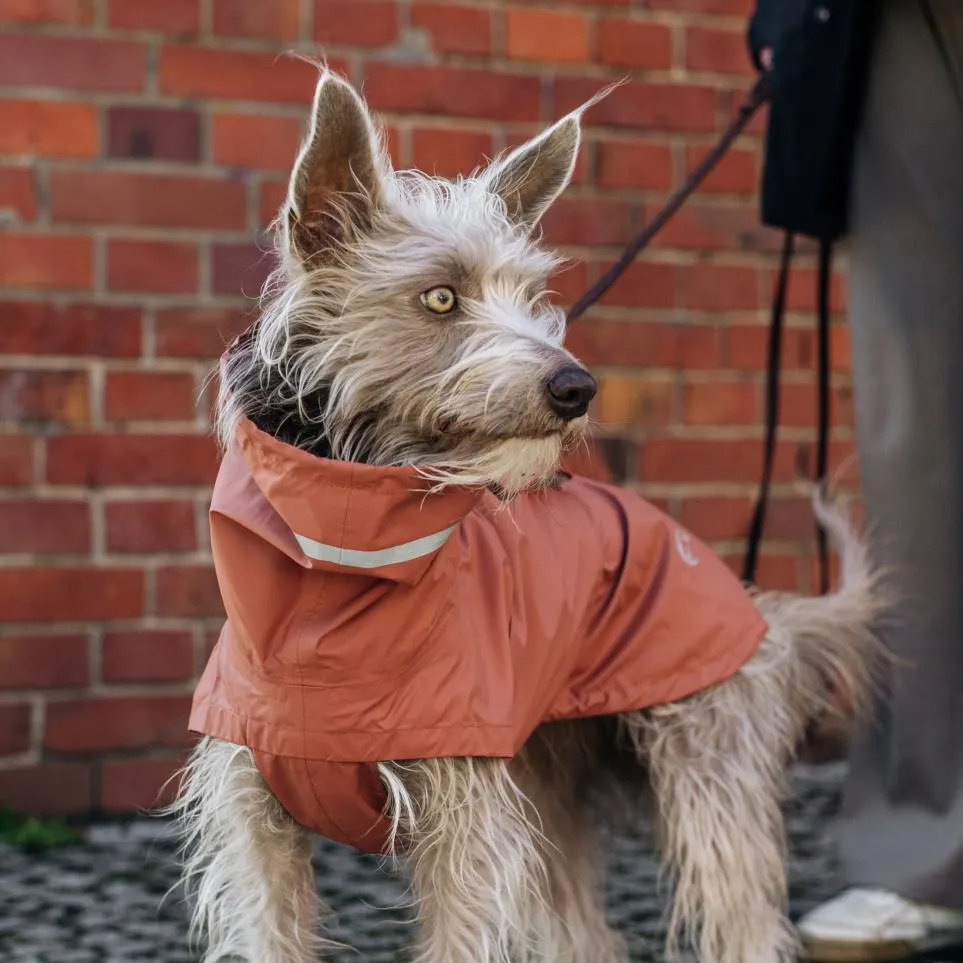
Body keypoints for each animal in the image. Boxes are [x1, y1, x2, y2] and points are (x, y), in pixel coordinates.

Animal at [169, 69, 884, 963]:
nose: (577, 386)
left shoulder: (464, 824)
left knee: (741, 916)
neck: (333, 572)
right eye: (441, 296)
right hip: (549, 790)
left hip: (705, 771)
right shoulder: (259, 823)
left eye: (531, 295)